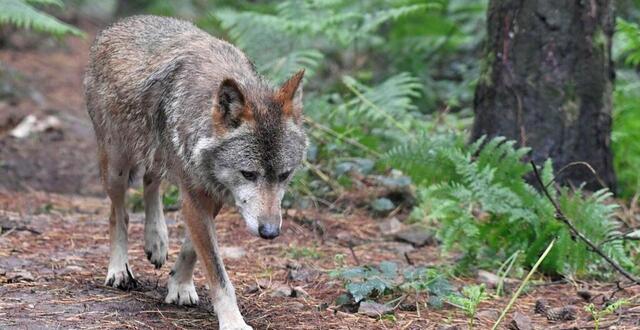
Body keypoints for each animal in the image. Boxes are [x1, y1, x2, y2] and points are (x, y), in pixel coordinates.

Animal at [84, 16, 308, 330]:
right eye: (248, 174)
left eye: (285, 175)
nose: (270, 232)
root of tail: (119, 24)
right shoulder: (196, 196)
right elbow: (218, 272)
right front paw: (233, 322)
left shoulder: (212, 194)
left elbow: (192, 248)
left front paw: (179, 285)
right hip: (116, 166)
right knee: (119, 213)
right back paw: (119, 270)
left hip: (158, 155)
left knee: (151, 182)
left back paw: (157, 240)